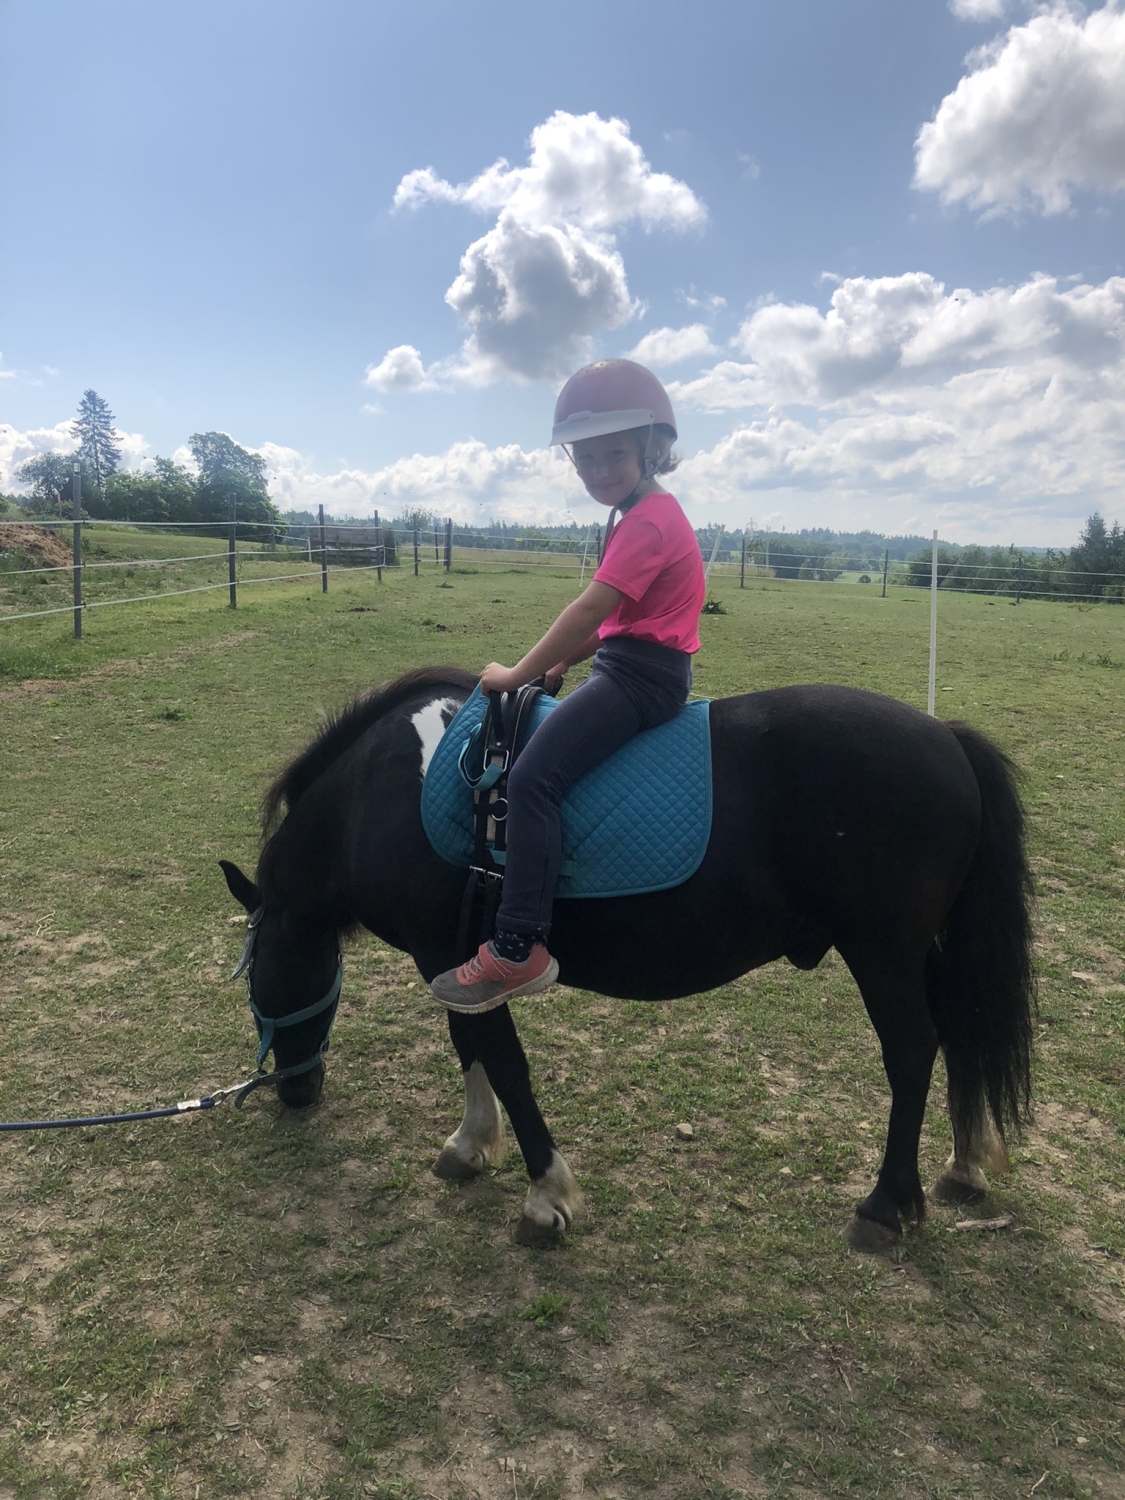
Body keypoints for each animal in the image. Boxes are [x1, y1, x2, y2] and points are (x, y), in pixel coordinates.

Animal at [219, 665, 1034, 1254]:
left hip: (881, 952)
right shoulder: (453, 959)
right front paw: (468, 1145)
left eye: (259, 977)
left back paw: (886, 1205)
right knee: (957, 1034)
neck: (381, 790)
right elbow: (469, 1045)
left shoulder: (452, 954)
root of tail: (943, 735)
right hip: (919, 952)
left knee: (912, 1051)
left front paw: (544, 1196)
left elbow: (502, 1060)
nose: (294, 1092)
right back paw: (963, 1165)